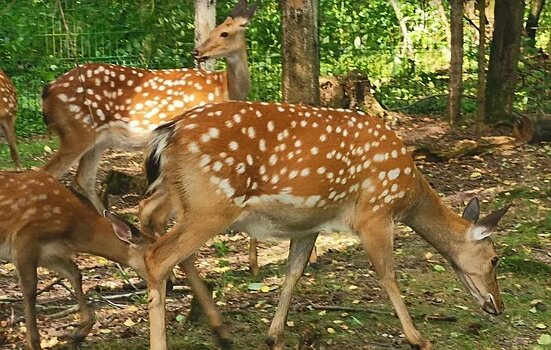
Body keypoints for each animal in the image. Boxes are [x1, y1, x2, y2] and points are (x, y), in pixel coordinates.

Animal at [42, 0, 258, 213]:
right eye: (215, 30)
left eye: (224, 33)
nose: (197, 52)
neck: (224, 88)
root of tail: (48, 90)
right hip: (77, 131)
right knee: (49, 172)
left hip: (98, 139)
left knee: (83, 178)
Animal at [140, 100, 512, 348]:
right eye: (495, 259)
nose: (498, 305)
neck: (408, 195)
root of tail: (168, 133)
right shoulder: (374, 213)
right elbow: (388, 275)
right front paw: (418, 338)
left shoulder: (311, 223)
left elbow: (294, 271)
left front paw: (274, 335)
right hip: (211, 204)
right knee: (157, 256)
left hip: (183, 197)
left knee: (154, 223)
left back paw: (222, 330)